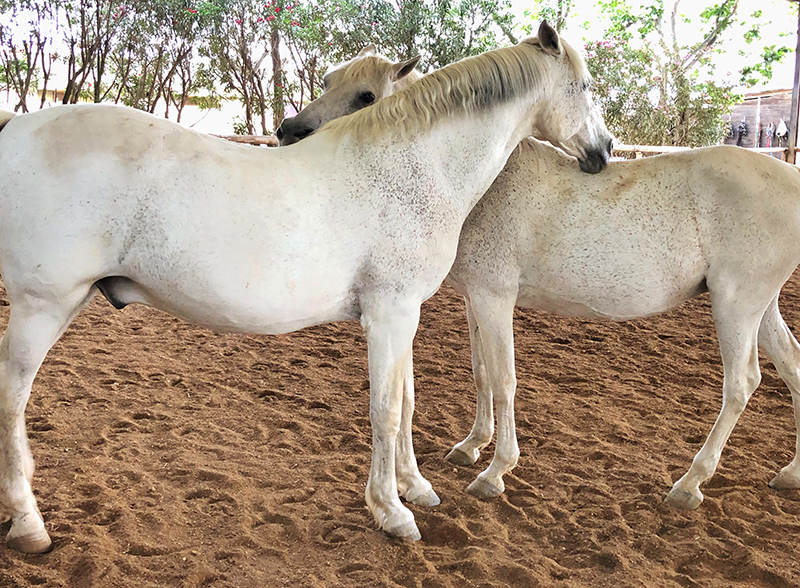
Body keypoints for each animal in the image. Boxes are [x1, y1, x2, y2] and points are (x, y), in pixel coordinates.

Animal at [0, 21, 612, 552]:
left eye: (364, 93)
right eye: (585, 87)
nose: (604, 152)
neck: (416, 166)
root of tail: (18, 128)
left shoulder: (404, 314)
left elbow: (406, 400)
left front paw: (415, 488)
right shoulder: (390, 314)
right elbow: (387, 409)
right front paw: (392, 511)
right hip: (42, 306)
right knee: (12, 398)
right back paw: (29, 526)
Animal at [280, 45, 800, 512]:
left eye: (366, 96)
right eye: (327, 82)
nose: (288, 132)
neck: (482, 180)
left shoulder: (495, 297)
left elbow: (504, 378)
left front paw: (495, 471)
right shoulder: (474, 298)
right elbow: (481, 372)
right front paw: (472, 445)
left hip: (736, 304)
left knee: (741, 383)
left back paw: (690, 483)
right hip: (761, 306)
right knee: (791, 365)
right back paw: (790, 474)